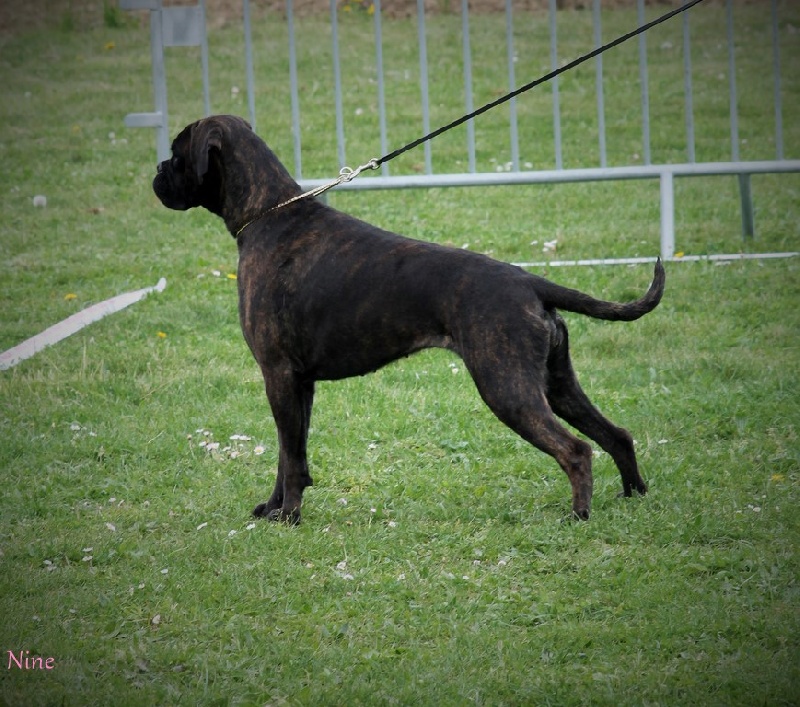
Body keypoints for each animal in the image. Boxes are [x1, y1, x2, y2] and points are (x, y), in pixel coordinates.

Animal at [153, 117, 664, 524]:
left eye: (177, 153)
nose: (156, 172)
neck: (267, 215)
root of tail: (529, 282)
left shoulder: (278, 374)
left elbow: (291, 459)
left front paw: (289, 516)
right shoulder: (298, 383)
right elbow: (288, 452)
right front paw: (273, 508)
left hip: (507, 387)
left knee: (576, 450)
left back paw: (579, 515)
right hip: (555, 384)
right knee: (616, 435)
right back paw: (634, 496)